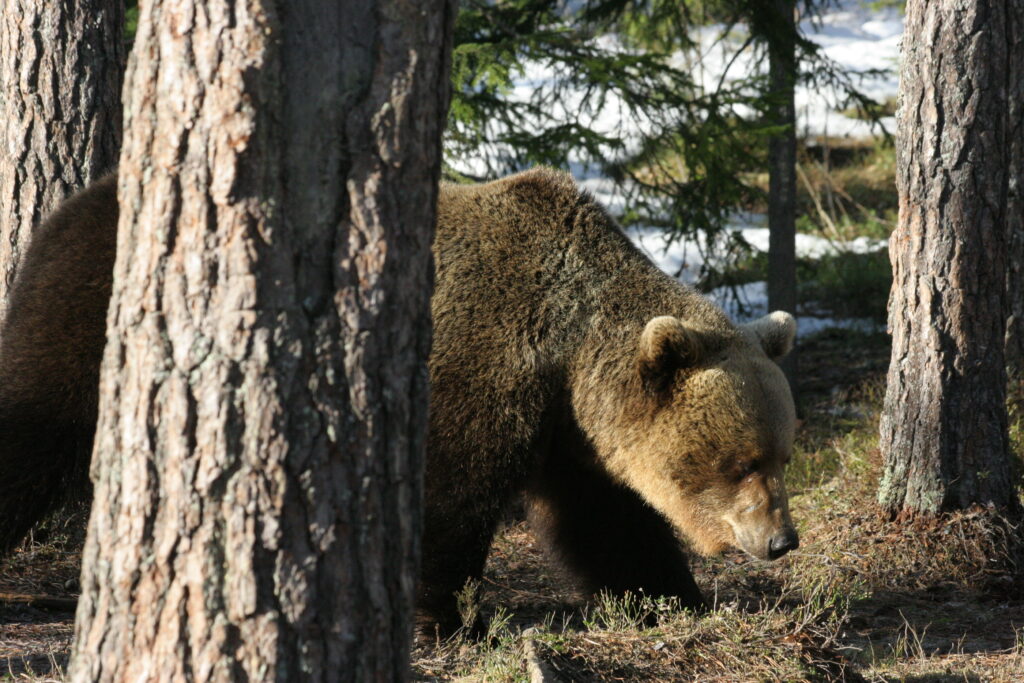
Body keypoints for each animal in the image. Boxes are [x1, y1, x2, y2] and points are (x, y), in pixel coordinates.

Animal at [0, 168, 799, 638]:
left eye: (780, 454)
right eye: (739, 461)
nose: (781, 540)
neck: (568, 348)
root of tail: (79, 201)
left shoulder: (571, 431)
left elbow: (606, 519)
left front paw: (672, 594)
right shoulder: (481, 361)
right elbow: (451, 497)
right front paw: (446, 615)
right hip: (95, 314)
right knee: (33, 421)